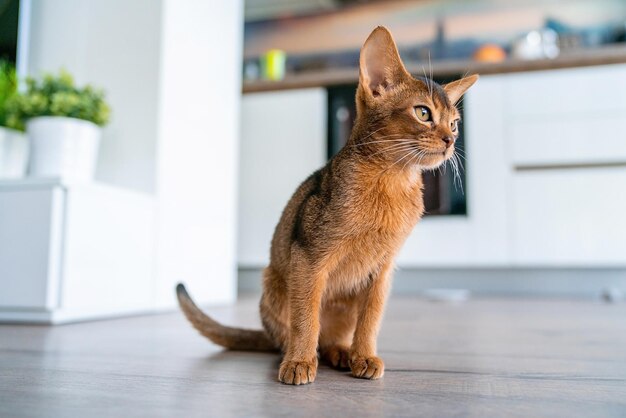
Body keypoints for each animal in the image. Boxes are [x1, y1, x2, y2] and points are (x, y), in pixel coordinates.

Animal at [176, 26, 478, 386]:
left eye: (455, 123)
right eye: (423, 113)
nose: (451, 141)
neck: (392, 180)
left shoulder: (382, 271)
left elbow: (371, 319)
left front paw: (364, 355)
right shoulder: (309, 257)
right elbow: (306, 317)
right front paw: (299, 363)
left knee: (332, 338)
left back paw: (343, 353)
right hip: (273, 285)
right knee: (292, 335)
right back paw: (303, 354)